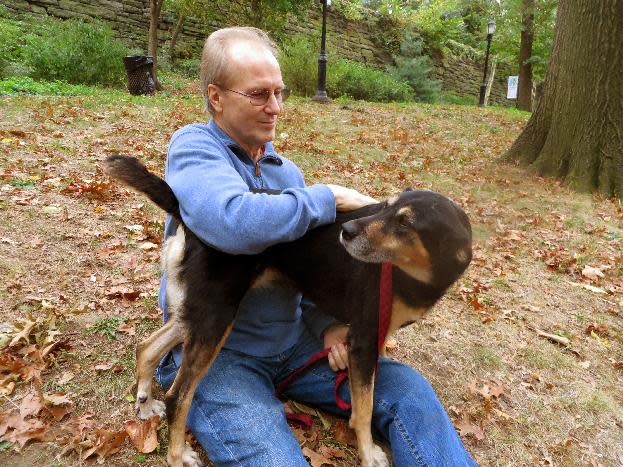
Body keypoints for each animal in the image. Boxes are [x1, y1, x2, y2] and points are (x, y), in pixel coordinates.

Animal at [103, 155, 472, 466]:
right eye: (387, 208)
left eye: (405, 224)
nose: (346, 232)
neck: (410, 275)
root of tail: (188, 215)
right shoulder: (366, 337)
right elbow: (364, 409)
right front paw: (368, 454)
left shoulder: (373, 340)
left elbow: (365, 395)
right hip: (215, 317)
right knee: (178, 395)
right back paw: (177, 455)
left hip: (199, 312)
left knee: (147, 347)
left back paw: (145, 402)